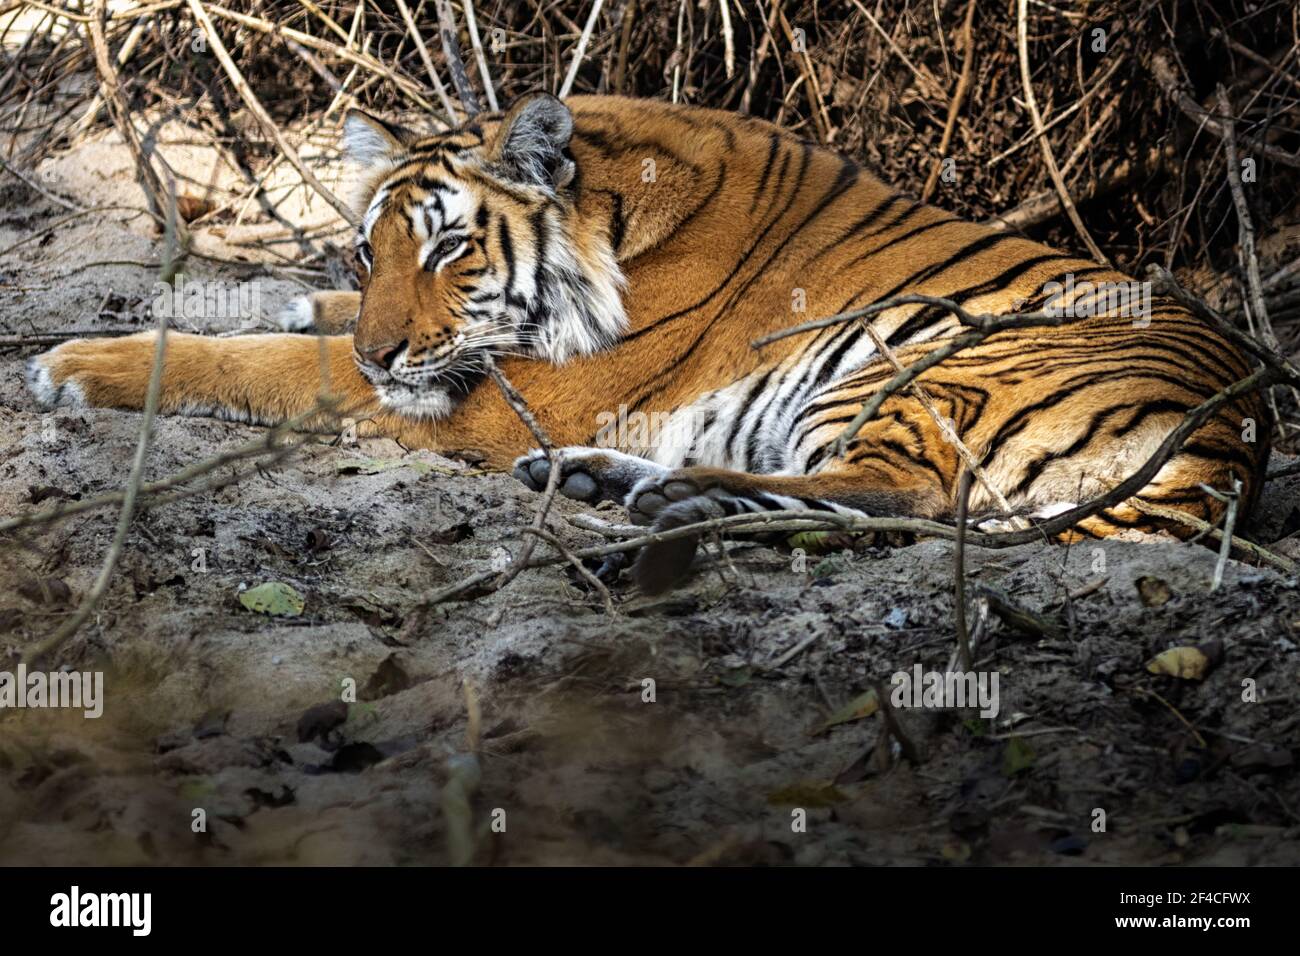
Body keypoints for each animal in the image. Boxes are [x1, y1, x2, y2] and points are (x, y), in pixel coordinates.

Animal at [25, 95, 1268, 590]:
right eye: (366, 252)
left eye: (449, 251)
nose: (385, 357)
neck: (613, 209)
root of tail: (1229, 450)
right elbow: (290, 318)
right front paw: (256, 297)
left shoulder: (498, 389)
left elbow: (274, 365)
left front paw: (80, 365)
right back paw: (614, 486)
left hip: (920, 366)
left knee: (897, 498)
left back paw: (647, 494)